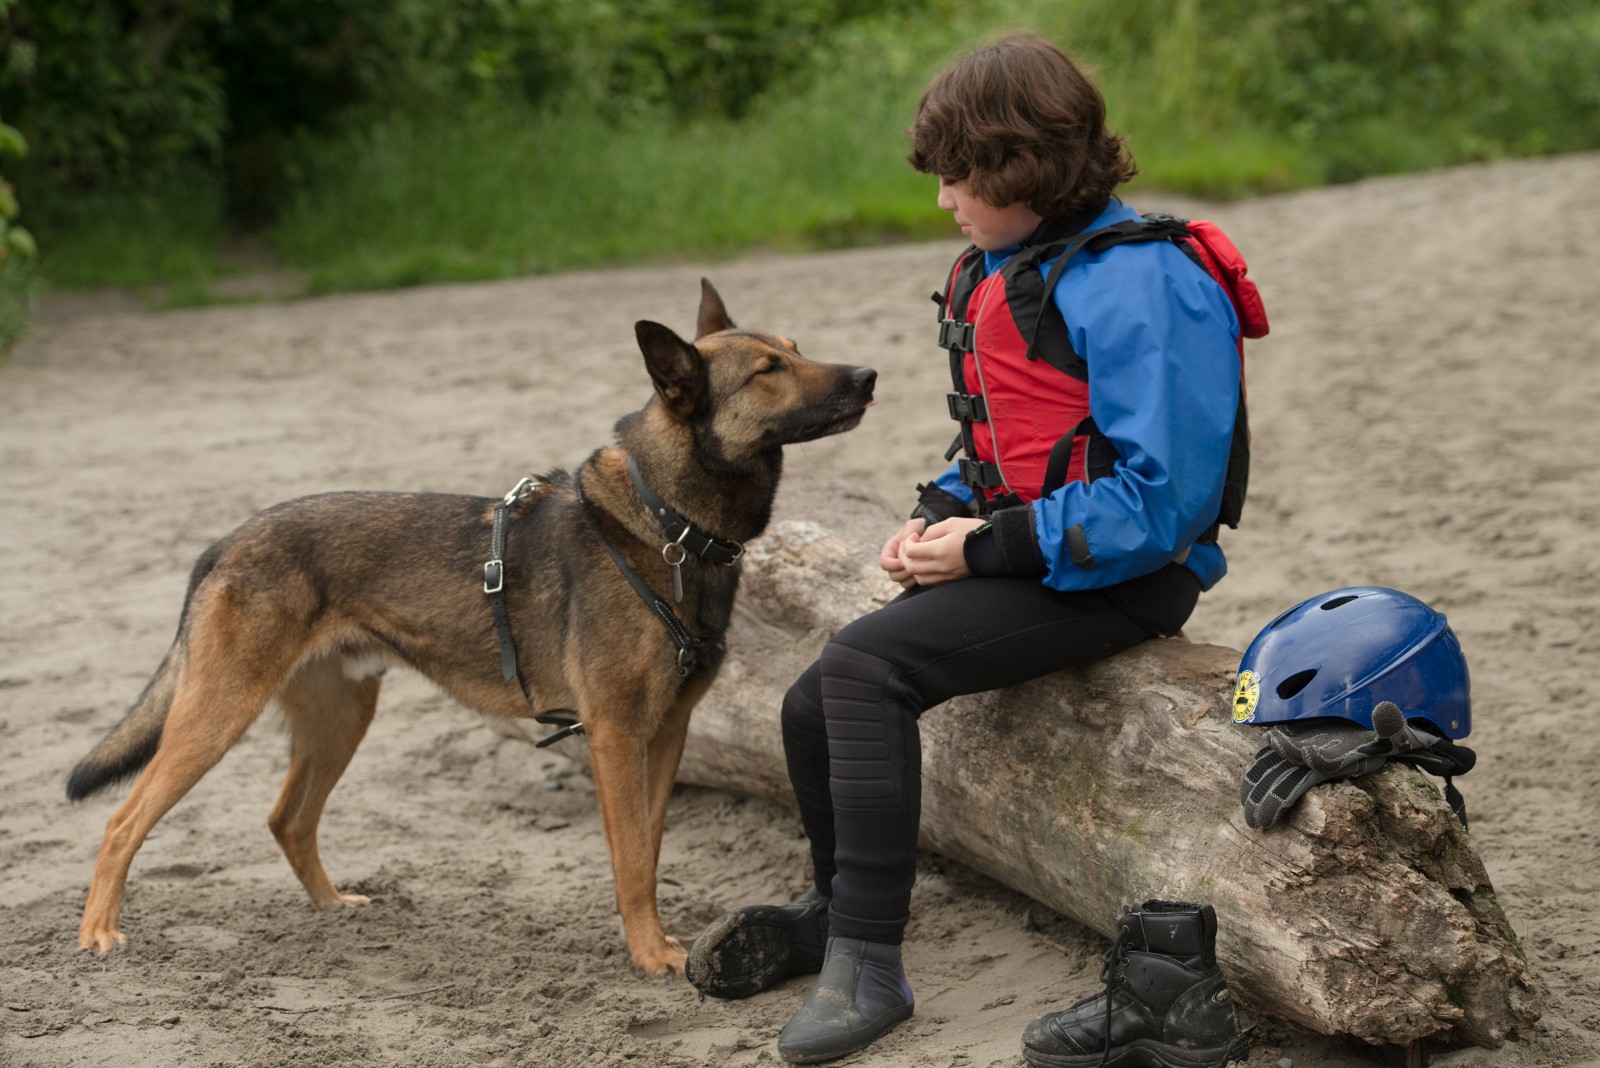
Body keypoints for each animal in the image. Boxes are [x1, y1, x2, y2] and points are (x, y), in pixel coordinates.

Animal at [65, 281, 876, 978]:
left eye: (796, 347)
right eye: (770, 369)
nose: (869, 375)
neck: (667, 528)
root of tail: (225, 543)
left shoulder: (665, 733)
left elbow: (646, 850)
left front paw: (652, 943)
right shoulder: (615, 736)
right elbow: (630, 860)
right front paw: (650, 955)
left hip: (339, 719)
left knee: (287, 818)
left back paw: (332, 907)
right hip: (217, 715)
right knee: (123, 821)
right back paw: (98, 934)